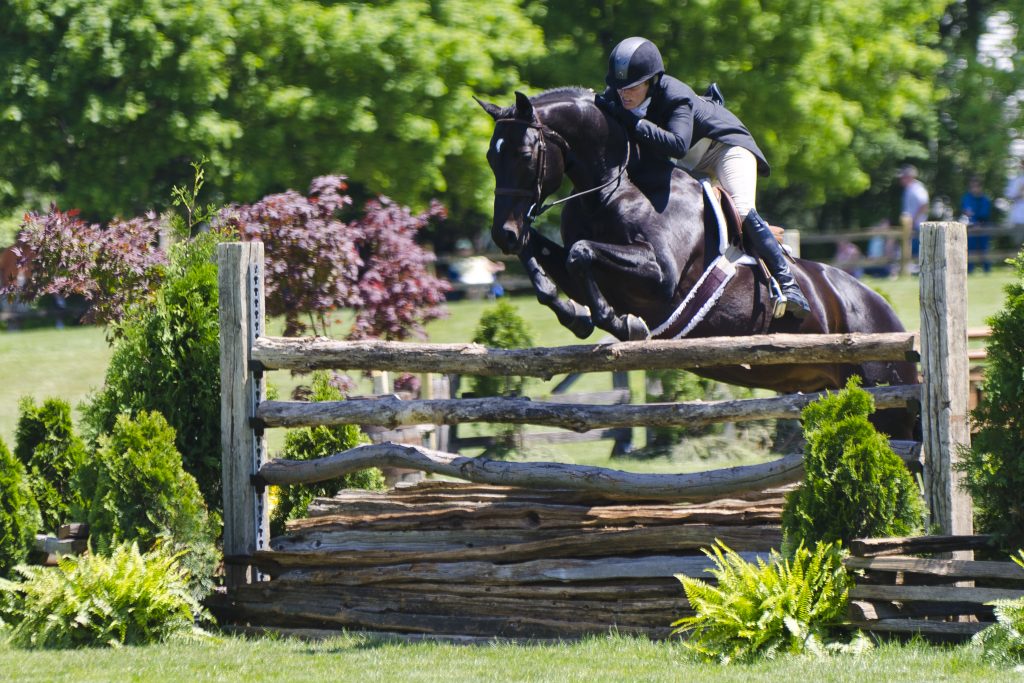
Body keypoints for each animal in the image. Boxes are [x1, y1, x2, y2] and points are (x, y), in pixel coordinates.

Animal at [476, 87, 919, 439]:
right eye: (490, 158)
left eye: (525, 153)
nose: (503, 234)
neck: (615, 187)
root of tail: (888, 316)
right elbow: (551, 258)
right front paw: (574, 314)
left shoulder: (661, 277)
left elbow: (580, 252)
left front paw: (621, 323)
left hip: (885, 396)